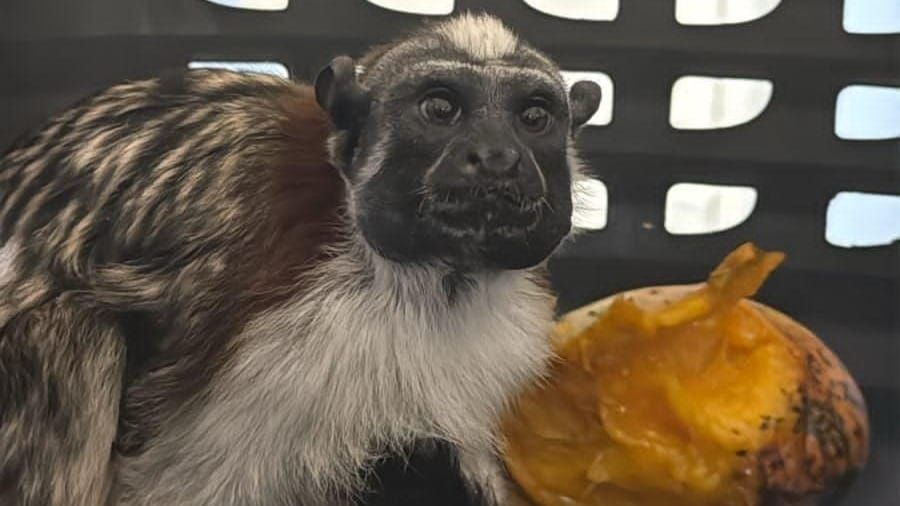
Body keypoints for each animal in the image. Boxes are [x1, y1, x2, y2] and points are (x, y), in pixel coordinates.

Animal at [0, 13, 601, 506]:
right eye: (440, 108)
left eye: (533, 118)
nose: (497, 157)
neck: (428, 281)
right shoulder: (280, 340)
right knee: (74, 334)